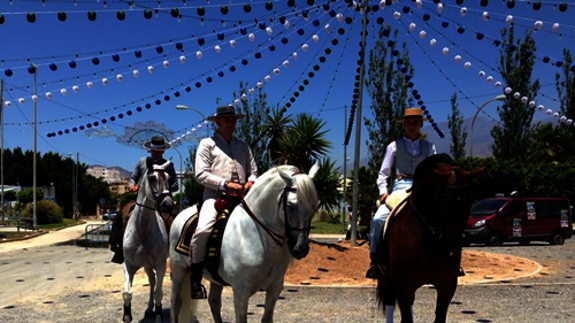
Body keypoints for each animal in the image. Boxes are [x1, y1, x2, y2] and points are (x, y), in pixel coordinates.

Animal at [122, 160, 174, 323]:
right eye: (152, 178)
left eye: (169, 179)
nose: (168, 204)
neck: (142, 230)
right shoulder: (128, 264)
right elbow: (127, 294)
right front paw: (127, 315)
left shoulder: (161, 264)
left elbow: (158, 292)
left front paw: (158, 315)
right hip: (146, 265)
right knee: (151, 281)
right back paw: (149, 309)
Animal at [171, 166, 320, 322]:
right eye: (290, 206)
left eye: (314, 206)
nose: (301, 249)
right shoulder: (241, 292)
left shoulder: (275, 288)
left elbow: (267, 318)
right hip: (178, 271)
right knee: (176, 303)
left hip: (215, 278)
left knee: (214, 302)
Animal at [376, 154, 484, 323]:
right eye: (445, 199)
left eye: (470, 199)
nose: (454, 246)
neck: (429, 240)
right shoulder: (404, 285)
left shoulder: (447, 286)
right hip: (386, 277)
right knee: (389, 304)